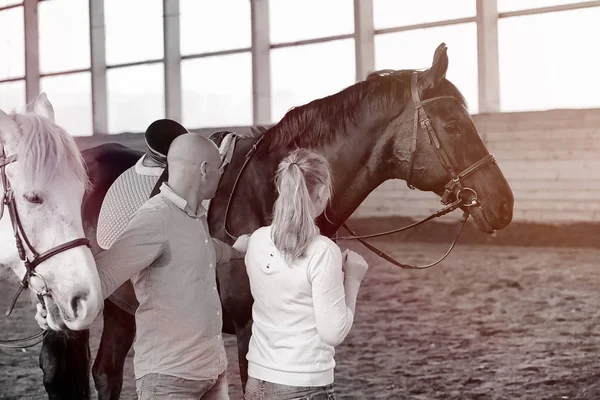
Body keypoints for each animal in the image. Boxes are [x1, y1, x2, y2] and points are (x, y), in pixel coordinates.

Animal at [39, 42, 512, 398]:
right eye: (453, 126)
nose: (503, 204)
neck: (269, 198)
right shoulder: (251, 330)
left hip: (121, 307)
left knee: (106, 373)